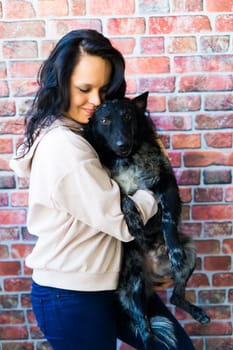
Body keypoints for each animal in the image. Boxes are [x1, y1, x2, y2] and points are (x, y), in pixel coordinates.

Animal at [83, 91, 209, 348]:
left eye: (127, 116)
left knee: (176, 296)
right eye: (105, 121)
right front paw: (133, 219)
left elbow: (169, 219)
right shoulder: (109, 188)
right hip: (133, 284)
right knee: (144, 327)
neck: (127, 159)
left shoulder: (166, 183)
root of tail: (153, 276)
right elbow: (123, 198)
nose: (122, 145)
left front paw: (174, 250)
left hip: (191, 254)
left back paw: (196, 311)